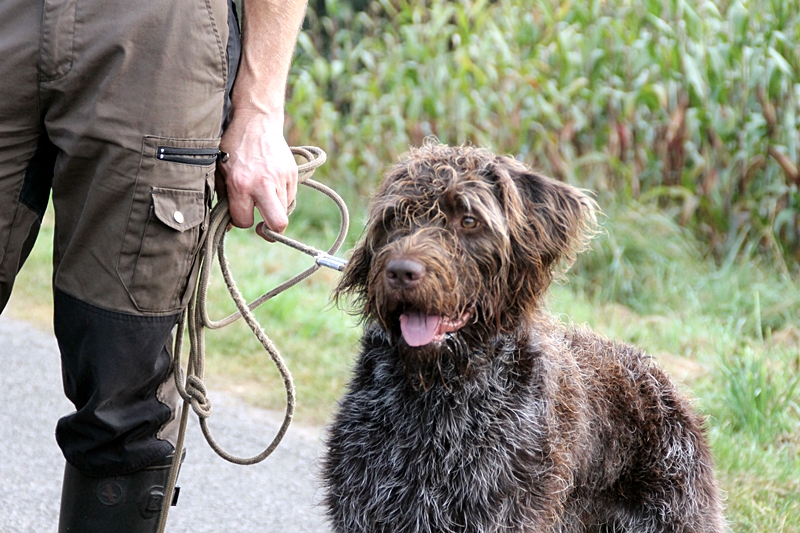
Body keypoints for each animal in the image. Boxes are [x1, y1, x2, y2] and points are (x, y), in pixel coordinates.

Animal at [322, 142, 728, 532]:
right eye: (395, 219)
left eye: (468, 220)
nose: (400, 271)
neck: (438, 394)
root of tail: (662, 380)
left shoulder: (498, 512)